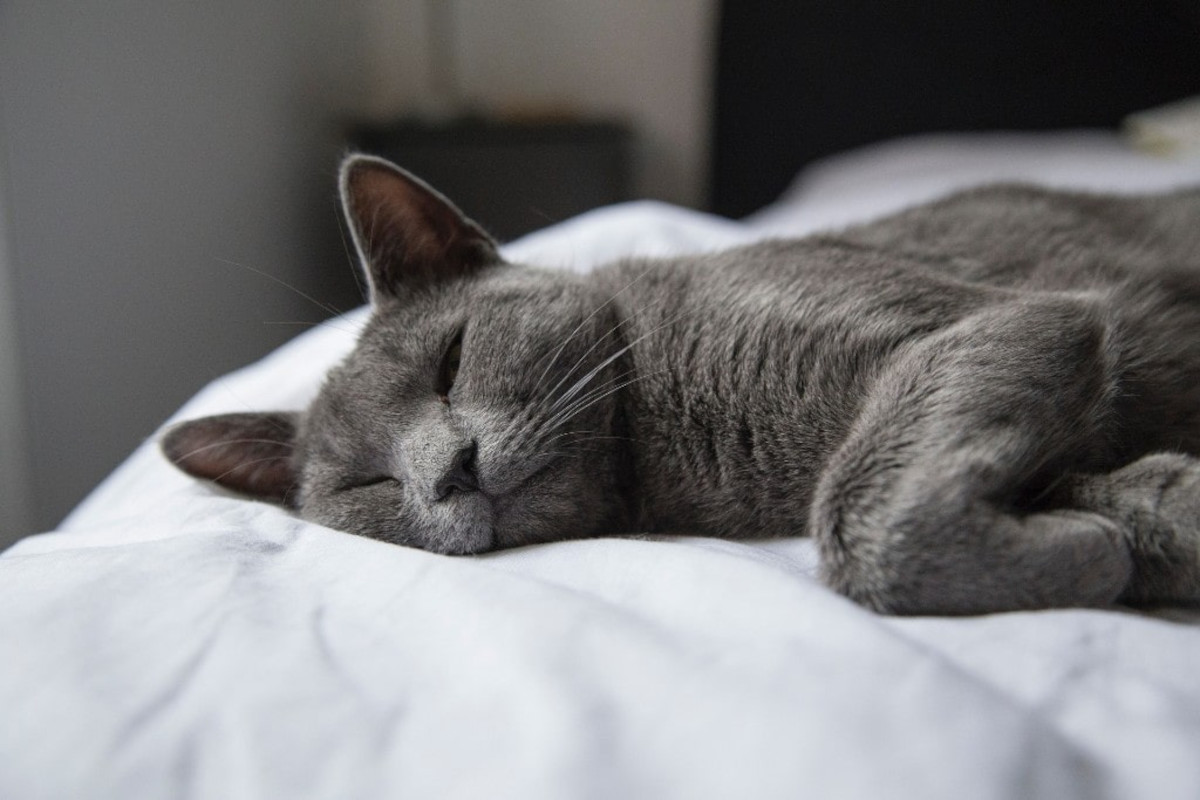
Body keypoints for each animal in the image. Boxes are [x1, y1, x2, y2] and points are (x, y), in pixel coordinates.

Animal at [162, 158, 1200, 618]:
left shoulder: (998, 323)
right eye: (367, 486)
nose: (448, 470)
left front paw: (1095, 552)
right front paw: (1112, 541)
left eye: (450, 362)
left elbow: (859, 510)